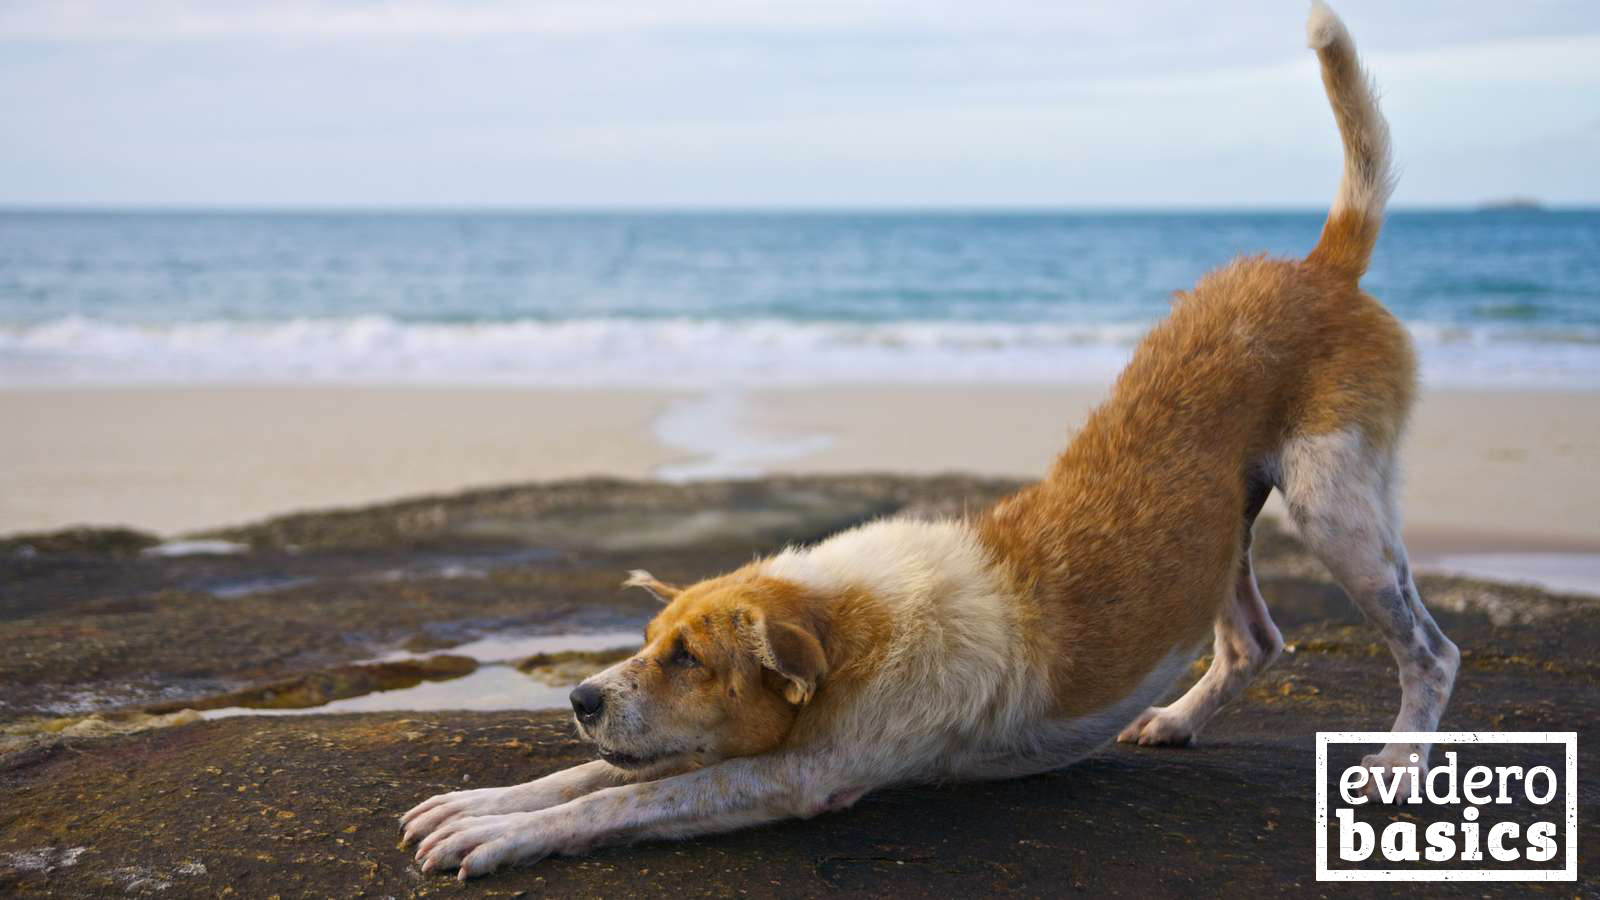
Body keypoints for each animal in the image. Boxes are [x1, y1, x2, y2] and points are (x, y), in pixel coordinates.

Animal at [403, 5, 1465, 877]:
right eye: (648, 642)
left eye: (690, 659)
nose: (580, 699)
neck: (847, 625)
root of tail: (1321, 265)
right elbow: (586, 780)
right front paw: (483, 803)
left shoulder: (796, 778)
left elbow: (622, 801)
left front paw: (501, 834)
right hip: (1232, 521)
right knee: (1253, 640)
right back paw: (1177, 718)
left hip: (1334, 504)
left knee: (1432, 649)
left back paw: (1399, 760)